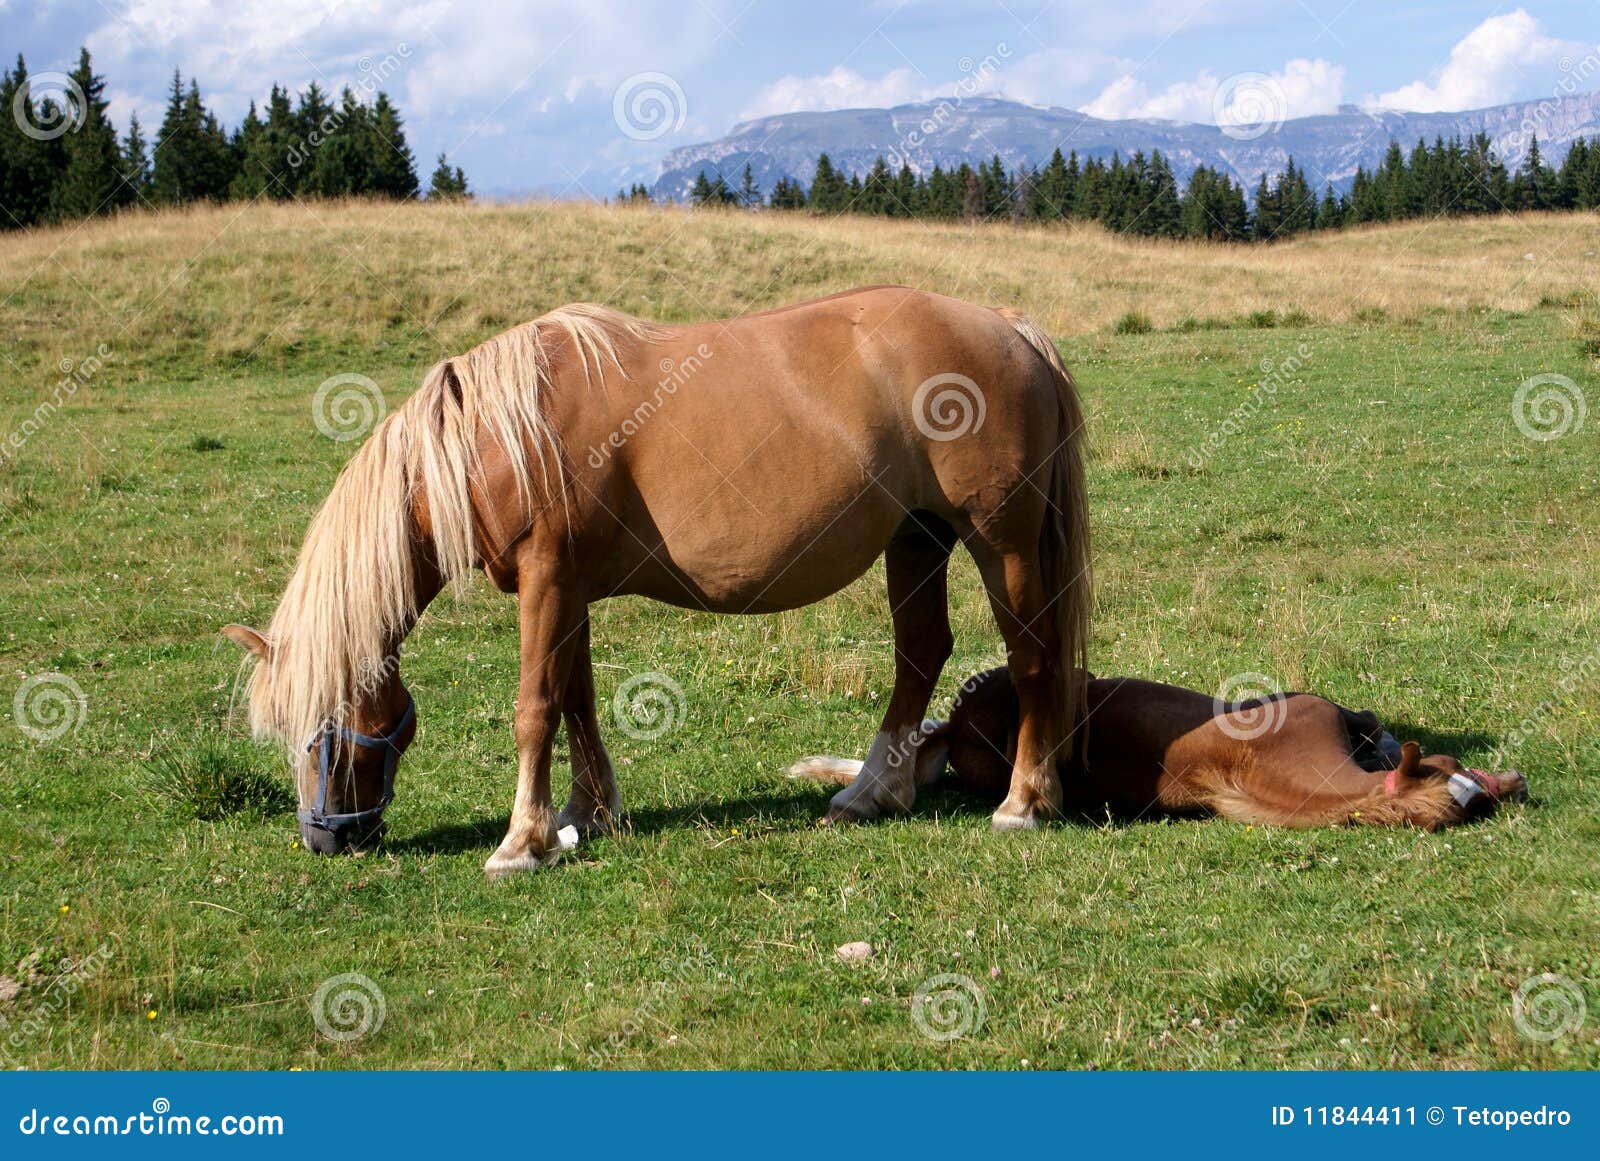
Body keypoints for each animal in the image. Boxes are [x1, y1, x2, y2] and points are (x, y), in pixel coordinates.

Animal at [223, 287, 1092, 877]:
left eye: (322, 727)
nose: (326, 837)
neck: (500, 437)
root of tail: (1008, 326)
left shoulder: (547, 579)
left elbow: (534, 707)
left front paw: (519, 841)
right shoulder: (568, 587)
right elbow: (575, 697)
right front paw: (583, 814)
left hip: (1000, 543)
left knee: (1031, 656)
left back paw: (1022, 802)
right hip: (917, 539)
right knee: (920, 654)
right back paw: (869, 793)